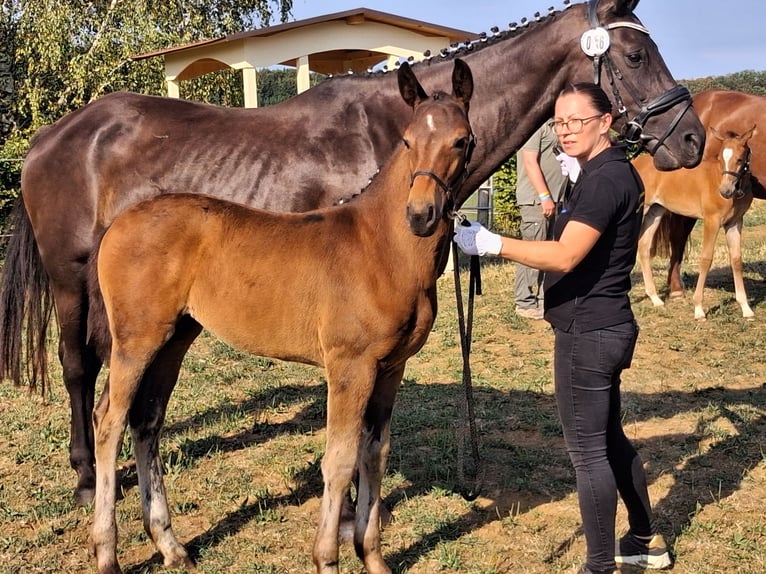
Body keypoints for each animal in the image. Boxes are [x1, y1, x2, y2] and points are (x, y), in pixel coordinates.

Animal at [0, 0, 705, 506]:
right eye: (636, 53)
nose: (692, 140)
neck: (390, 134)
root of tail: (52, 137)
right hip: (71, 280)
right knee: (78, 368)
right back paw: (87, 478)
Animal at [86, 59, 472, 574]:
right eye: (407, 140)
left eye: (462, 140)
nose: (421, 215)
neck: (381, 247)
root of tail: (119, 222)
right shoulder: (350, 366)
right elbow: (339, 461)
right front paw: (327, 558)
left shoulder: (391, 367)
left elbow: (375, 456)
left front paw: (372, 557)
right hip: (135, 340)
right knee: (109, 421)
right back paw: (107, 552)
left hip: (174, 338)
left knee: (146, 422)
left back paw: (170, 545)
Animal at [633, 125, 756, 320]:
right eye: (720, 158)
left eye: (739, 159)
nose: (725, 191)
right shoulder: (711, 220)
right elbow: (706, 258)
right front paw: (698, 309)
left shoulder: (735, 222)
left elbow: (736, 260)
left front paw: (746, 308)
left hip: (655, 211)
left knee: (643, 245)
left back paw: (655, 299)